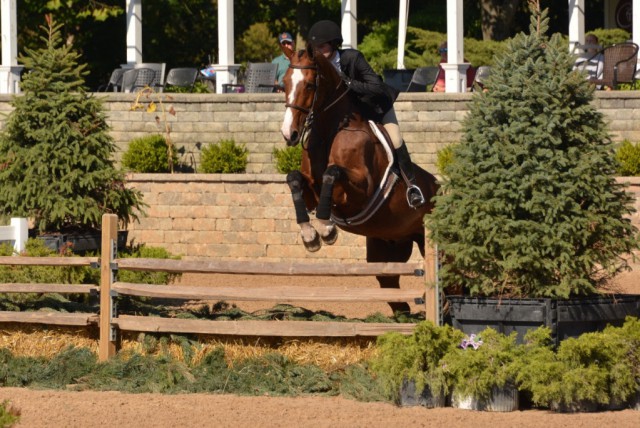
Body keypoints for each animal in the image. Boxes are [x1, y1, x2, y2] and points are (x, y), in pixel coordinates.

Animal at [280, 44, 440, 314]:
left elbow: (332, 173)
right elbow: (294, 179)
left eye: (310, 85)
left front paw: (326, 229)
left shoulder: (360, 193)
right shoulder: (311, 190)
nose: (288, 134)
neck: (330, 131)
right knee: (391, 288)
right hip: (388, 246)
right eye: (284, 83)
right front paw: (309, 235)